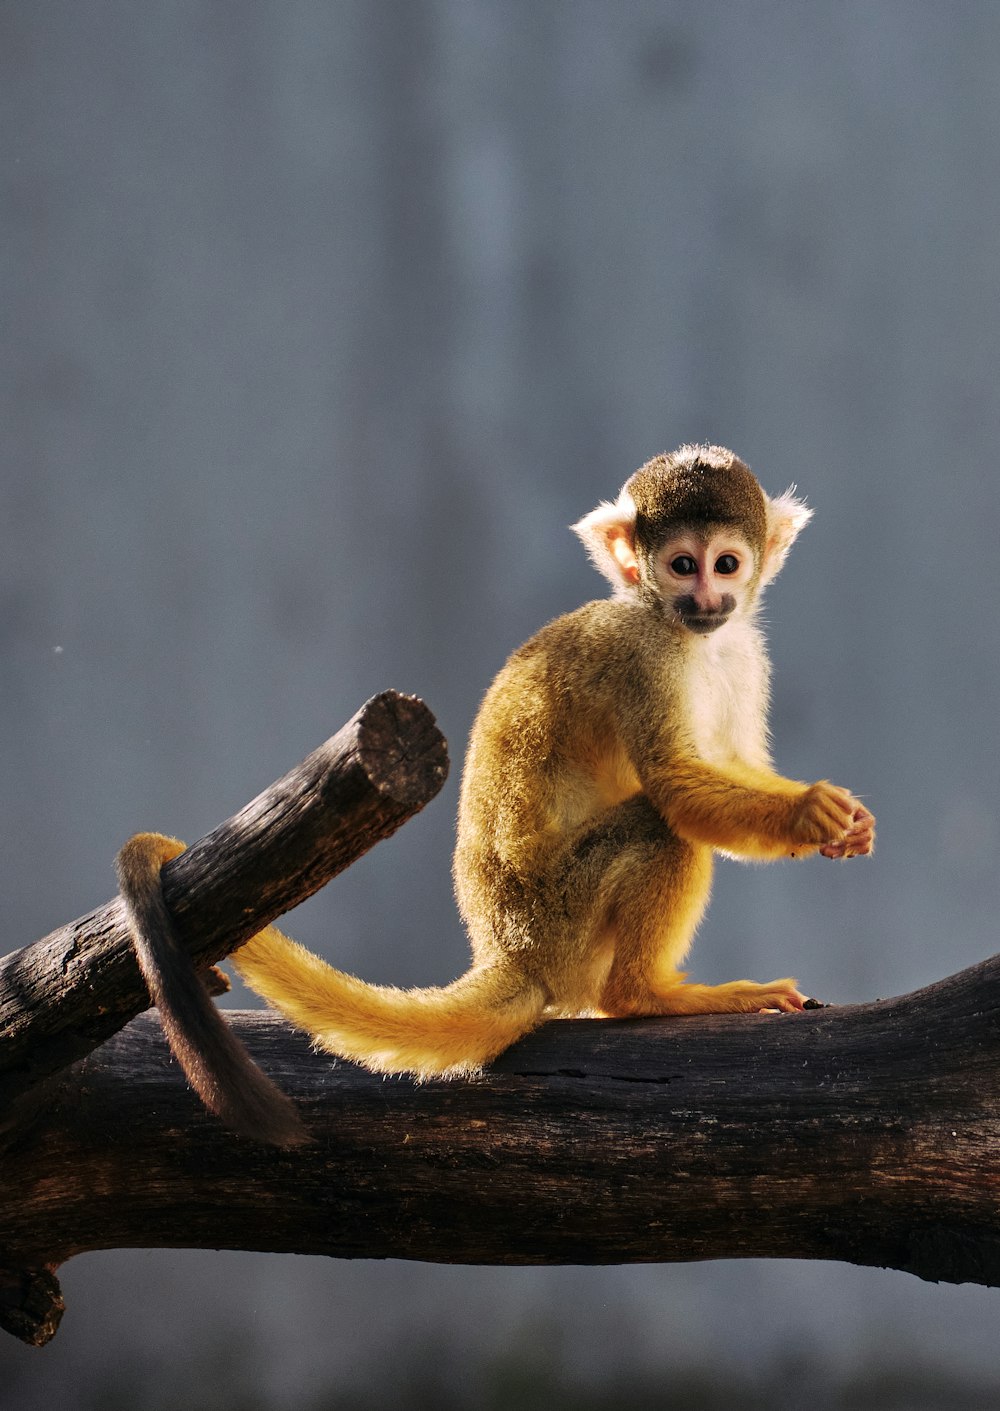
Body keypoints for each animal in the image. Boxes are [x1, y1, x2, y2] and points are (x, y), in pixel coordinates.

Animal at [120, 445, 874, 1140]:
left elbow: (729, 762)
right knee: (658, 830)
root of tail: (509, 954)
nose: (708, 601)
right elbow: (676, 787)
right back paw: (645, 995)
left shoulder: (743, 653)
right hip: (562, 918)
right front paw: (808, 812)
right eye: (683, 566)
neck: (680, 630)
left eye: (727, 565)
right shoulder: (640, 654)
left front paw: (838, 823)